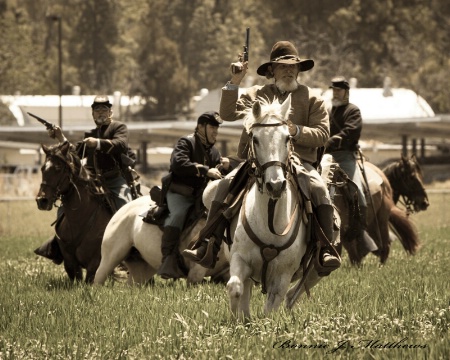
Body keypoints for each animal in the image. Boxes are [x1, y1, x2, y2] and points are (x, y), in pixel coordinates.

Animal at [35, 142, 112, 282]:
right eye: (43, 168)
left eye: (59, 168)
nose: (41, 200)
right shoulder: (69, 260)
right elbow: (75, 274)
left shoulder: (95, 261)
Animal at [211, 94, 324, 320]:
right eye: (255, 139)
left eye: (287, 138)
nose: (275, 185)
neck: (270, 219)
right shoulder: (239, 259)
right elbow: (235, 288)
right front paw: (236, 318)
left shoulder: (282, 276)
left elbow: (272, 307)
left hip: (315, 271)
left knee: (294, 293)